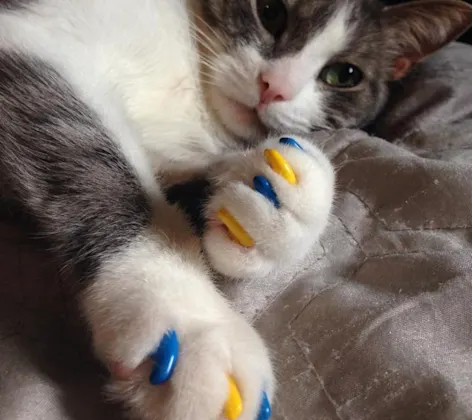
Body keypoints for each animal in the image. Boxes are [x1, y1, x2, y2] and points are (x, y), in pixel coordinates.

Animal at [0, 0, 470, 418]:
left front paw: (272, 197)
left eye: (344, 74)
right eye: (271, 11)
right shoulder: (31, 38)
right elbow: (85, 148)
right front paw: (184, 315)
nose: (274, 86)